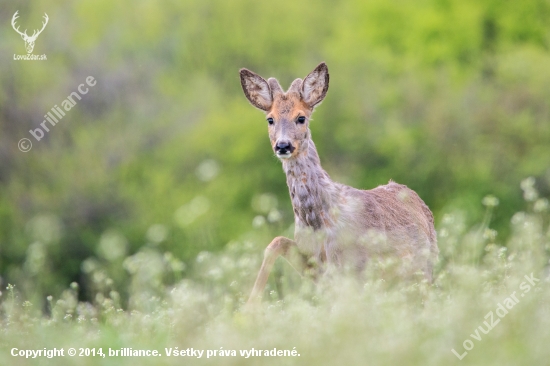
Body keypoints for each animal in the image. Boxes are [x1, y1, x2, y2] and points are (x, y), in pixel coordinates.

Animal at [242, 63, 440, 306]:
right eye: (270, 119)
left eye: (301, 118)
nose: (283, 146)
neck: (318, 219)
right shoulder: (316, 265)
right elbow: (276, 243)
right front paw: (249, 307)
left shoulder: (355, 265)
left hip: (424, 268)